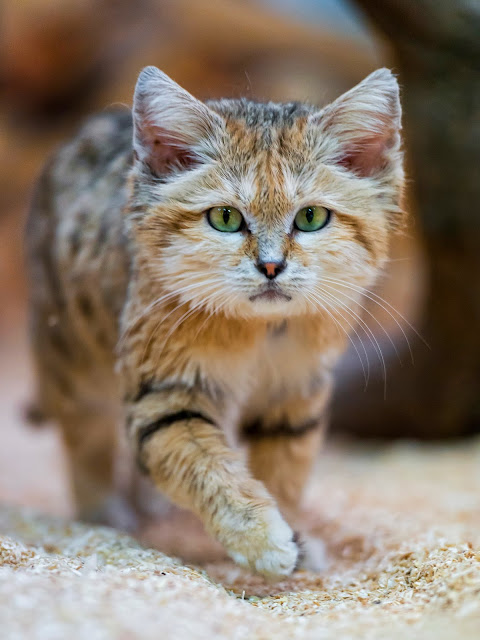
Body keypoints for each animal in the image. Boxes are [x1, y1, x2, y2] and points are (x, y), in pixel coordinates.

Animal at [24, 65, 404, 580]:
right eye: (225, 218)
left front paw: (295, 537)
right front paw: (264, 539)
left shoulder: (295, 398)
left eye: (311, 217)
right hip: (71, 361)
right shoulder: (167, 397)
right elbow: (208, 468)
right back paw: (102, 516)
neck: (263, 330)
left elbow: (284, 473)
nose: (271, 266)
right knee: (86, 439)